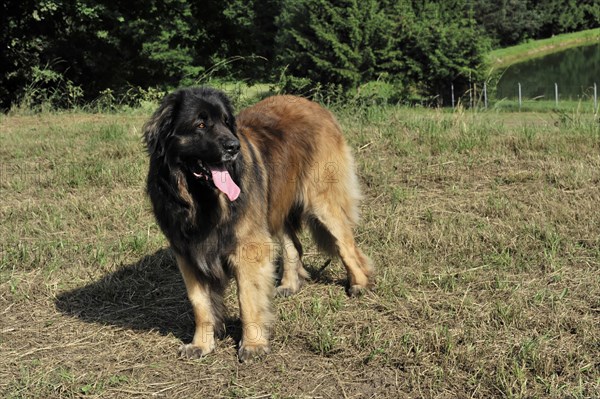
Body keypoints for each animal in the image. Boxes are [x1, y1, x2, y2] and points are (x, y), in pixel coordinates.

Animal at [143, 87, 372, 362]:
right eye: (200, 124)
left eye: (226, 122)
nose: (234, 146)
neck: (201, 200)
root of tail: (317, 107)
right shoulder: (188, 254)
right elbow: (200, 303)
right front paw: (201, 344)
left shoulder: (248, 248)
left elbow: (247, 298)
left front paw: (253, 344)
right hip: (275, 204)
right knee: (293, 245)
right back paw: (289, 284)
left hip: (322, 202)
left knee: (347, 245)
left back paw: (359, 283)